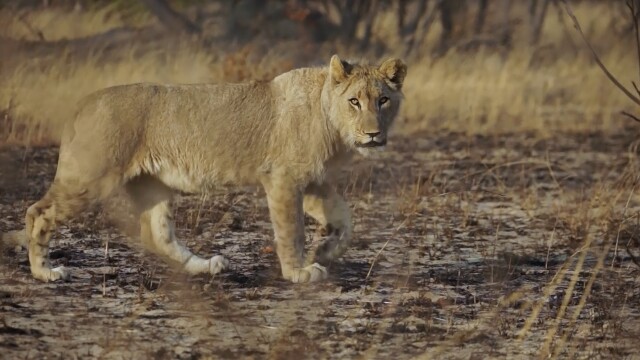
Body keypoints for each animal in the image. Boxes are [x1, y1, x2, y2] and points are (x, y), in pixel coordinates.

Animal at [0, 54, 408, 282]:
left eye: (383, 100)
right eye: (354, 101)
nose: (373, 134)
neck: (332, 123)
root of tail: (83, 103)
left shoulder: (312, 183)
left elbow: (346, 221)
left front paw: (324, 252)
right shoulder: (283, 179)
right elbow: (291, 231)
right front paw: (299, 272)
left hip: (152, 184)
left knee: (157, 234)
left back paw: (205, 266)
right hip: (92, 176)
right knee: (37, 211)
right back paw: (44, 272)